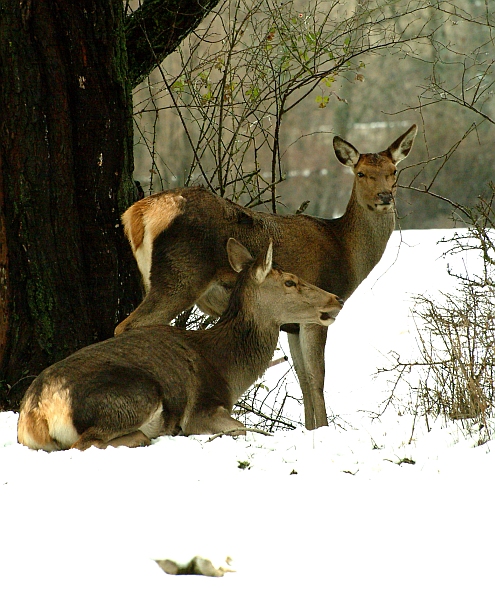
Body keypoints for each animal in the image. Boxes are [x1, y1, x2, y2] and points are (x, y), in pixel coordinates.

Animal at [15, 239, 340, 450]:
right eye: (290, 281)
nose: (335, 299)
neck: (226, 369)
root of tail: (36, 413)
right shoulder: (203, 408)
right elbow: (242, 428)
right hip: (134, 395)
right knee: (87, 443)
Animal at [116, 123, 418, 432]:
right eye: (361, 173)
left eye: (393, 171)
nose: (385, 196)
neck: (345, 251)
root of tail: (137, 214)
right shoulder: (317, 311)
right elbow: (318, 377)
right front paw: (323, 428)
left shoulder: (293, 324)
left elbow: (304, 380)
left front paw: (309, 428)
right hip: (180, 276)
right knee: (129, 326)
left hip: (152, 279)